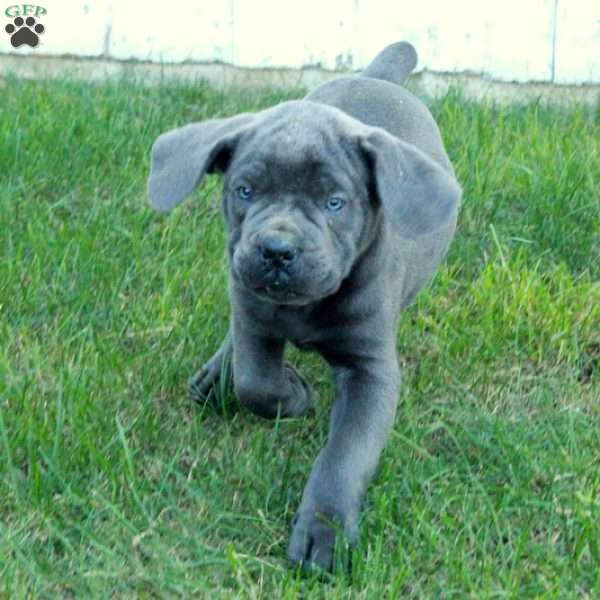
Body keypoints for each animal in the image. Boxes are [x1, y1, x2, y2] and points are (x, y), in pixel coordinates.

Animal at [148, 43, 462, 572]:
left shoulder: (372, 369)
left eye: (335, 202)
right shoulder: (254, 318)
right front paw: (292, 394)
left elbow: (347, 453)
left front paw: (323, 531)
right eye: (244, 191)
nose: (277, 249)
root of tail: (378, 76)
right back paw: (215, 374)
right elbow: (254, 382)